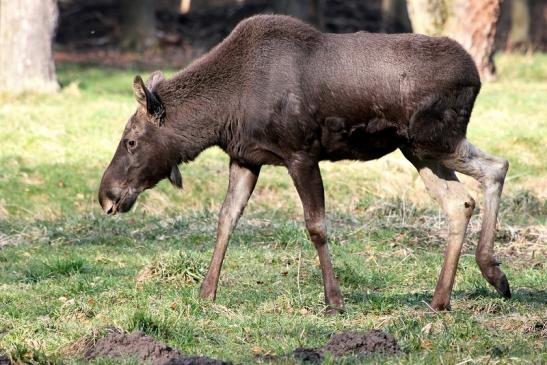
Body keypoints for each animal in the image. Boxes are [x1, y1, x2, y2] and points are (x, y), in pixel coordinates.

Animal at [97, 13, 510, 310]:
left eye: (131, 140)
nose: (106, 195)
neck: (222, 114)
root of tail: (476, 76)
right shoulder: (246, 159)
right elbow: (226, 219)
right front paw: (206, 292)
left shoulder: (301, 153)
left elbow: (316, 226)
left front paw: (335, 299)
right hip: (418, 150)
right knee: (461, 201)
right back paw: (447, 297)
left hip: (434, 140)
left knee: (497, 167)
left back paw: (491, 272)